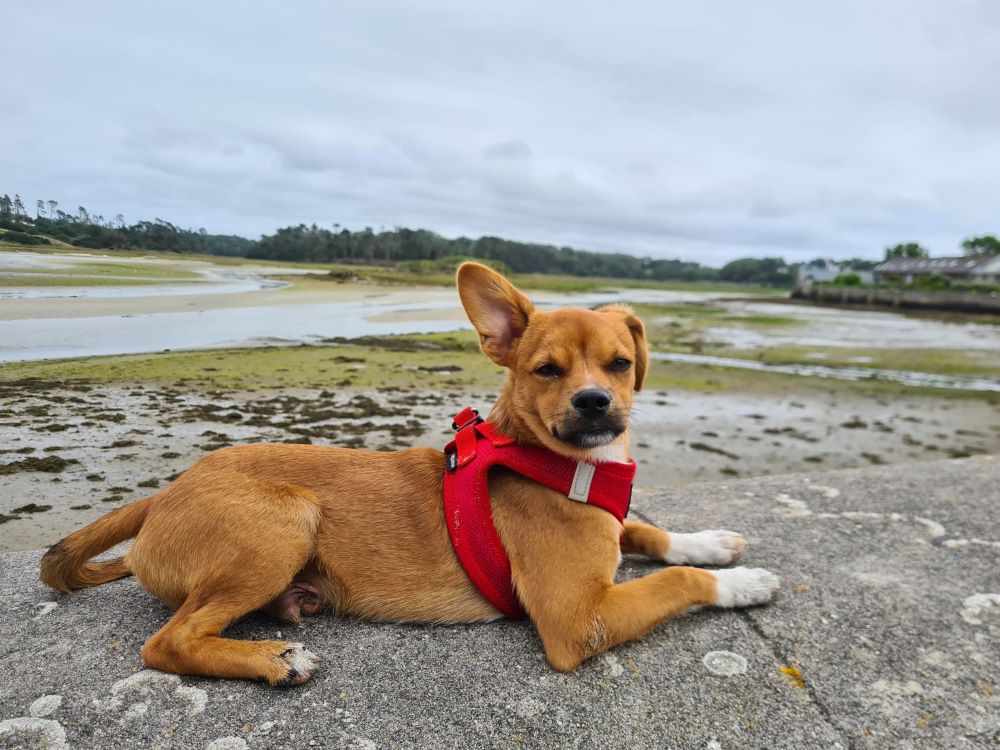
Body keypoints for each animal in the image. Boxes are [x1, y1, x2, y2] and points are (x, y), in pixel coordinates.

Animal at [41, 264, 780, 688]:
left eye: (621, 362)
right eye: (546, 369)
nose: (595, 403)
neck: (557, 464)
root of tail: (165, 492)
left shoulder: (609, 527)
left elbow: (647, 533)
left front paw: (711, 543)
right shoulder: (578, 622)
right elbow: (674, 581)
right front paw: (739, 584)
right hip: (285, 520)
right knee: (167, 643)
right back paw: (274, 661)